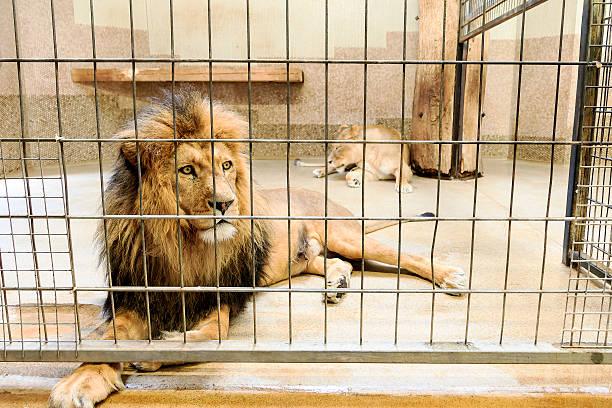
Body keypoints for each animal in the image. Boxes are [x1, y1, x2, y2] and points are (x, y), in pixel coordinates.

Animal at [50, 89, 464, 408]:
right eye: (187, 170)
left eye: (226, 165)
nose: (226, 203)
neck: (184, 244)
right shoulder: (137, 296)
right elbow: (108, 339)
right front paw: (80, 380)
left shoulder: (224, 296)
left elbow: (209, 336)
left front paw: (156, 353)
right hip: (306, 258)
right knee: (338, 264)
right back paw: (336, 286)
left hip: (345, 234)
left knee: (404, 255)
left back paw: (449, 277)